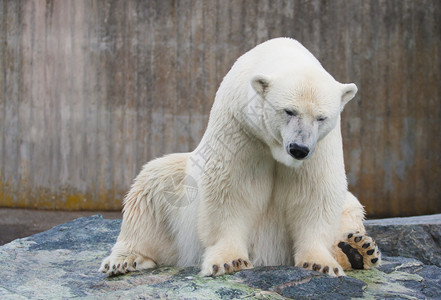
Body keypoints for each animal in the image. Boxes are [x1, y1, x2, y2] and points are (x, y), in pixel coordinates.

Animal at [99, 37, 378, 276]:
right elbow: (230, 190)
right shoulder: (241, 131)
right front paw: (230, 261)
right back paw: (124, 260)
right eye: (288, 111)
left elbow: (316, 193)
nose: (299, 148)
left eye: (321, 117)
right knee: (152, 188)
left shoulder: (321, 146)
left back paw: (356, 249)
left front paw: (320, 263)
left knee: (351, 206)